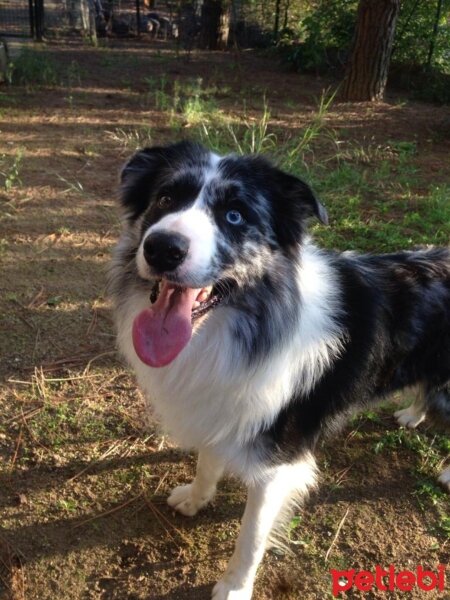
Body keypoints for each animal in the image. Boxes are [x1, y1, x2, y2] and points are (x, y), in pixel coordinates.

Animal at [110, 142, 450, 600]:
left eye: (235, 216)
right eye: (165, 198)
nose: (162, 248)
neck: (239, 327)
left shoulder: (277, 463)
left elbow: (251, 536)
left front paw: (234, 587)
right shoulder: (222, 409)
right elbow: (207, 463)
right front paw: (196, 499)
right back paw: (413, 413)